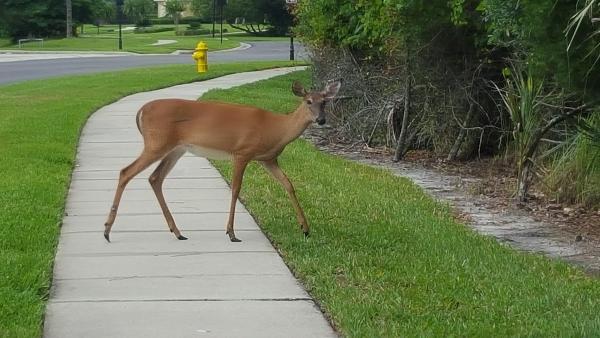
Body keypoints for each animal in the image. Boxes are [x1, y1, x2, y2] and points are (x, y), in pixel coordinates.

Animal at [101, 80, 340, 242]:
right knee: (126, 172)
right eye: (308, 101)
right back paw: (107, 230)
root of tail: (140, 112)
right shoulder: (242, 152)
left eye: (324, 102)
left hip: (176, 149)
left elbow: (288, 185)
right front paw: (231, 232)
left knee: (154, 178)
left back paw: (177, 232)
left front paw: (305, 228)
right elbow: (235, 189)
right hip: (156, 143)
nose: (321, 120)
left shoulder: (268, 159)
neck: (276, 129)